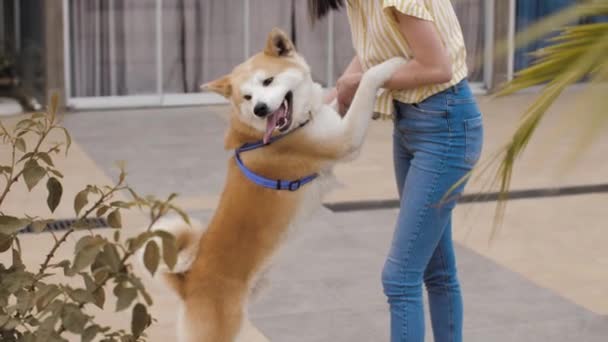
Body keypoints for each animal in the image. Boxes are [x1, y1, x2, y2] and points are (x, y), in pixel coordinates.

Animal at [145, 28, 406, 340]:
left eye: (267, 81)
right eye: (247, 97)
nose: (259, 108)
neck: (266, 135)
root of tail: (186, 281)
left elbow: (333, 104)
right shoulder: (346, 140)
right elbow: (367, 83)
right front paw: (391, 65)